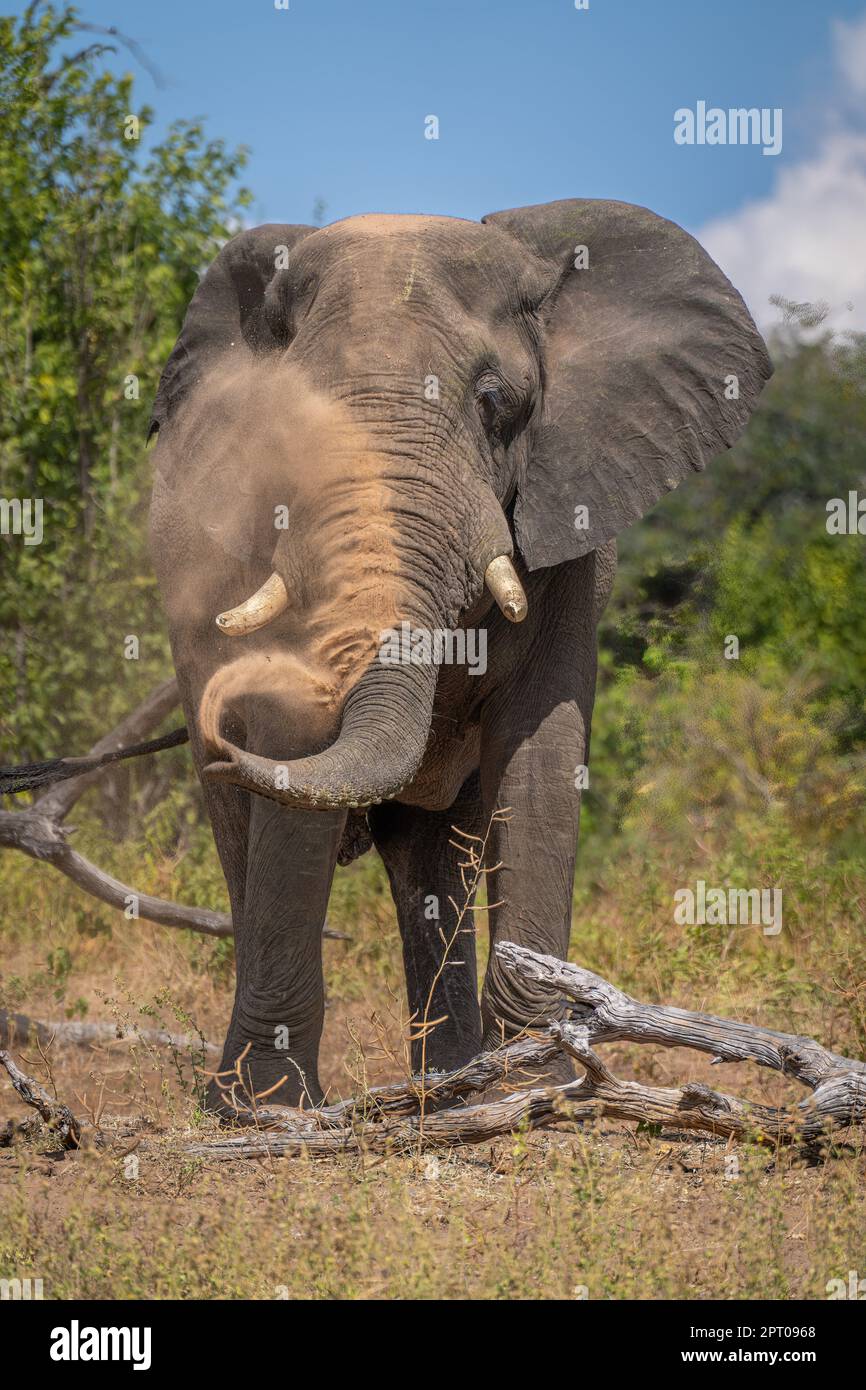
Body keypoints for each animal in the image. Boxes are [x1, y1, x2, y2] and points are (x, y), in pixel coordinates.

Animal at [147, 199, 772, 1109]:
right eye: (284, 423)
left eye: (494, 401)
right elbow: (294, 741)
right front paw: (268, 1111)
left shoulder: (568, 528)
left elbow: (542, 750)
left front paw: (533, 1085)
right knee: (245, 828)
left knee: (429, 857)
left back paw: (448, 1087)